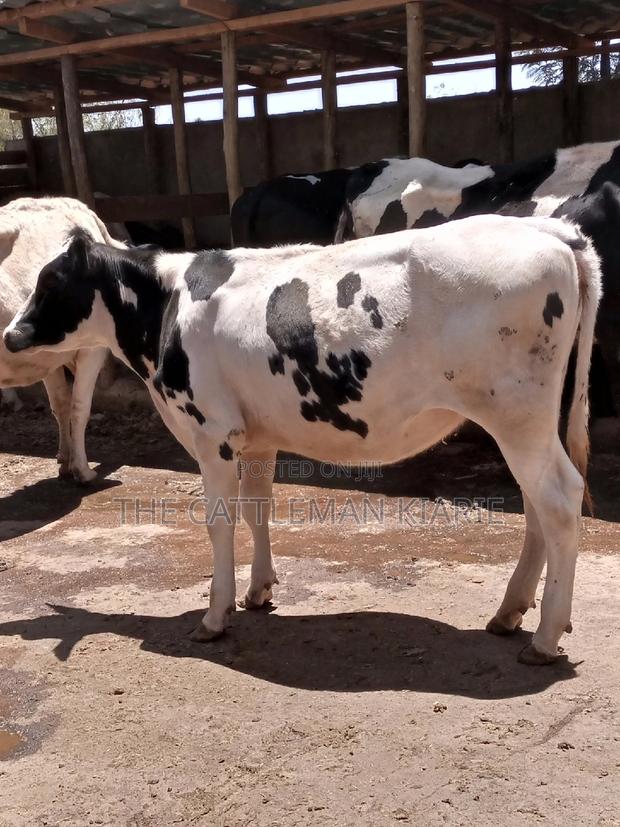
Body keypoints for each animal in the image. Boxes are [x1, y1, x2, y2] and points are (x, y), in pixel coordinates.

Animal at [0, 196, 127, 482]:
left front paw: (65, 460)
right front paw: (83, 470)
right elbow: (80, 407)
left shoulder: (48, 358)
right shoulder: (92, 349)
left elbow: (60, 404)